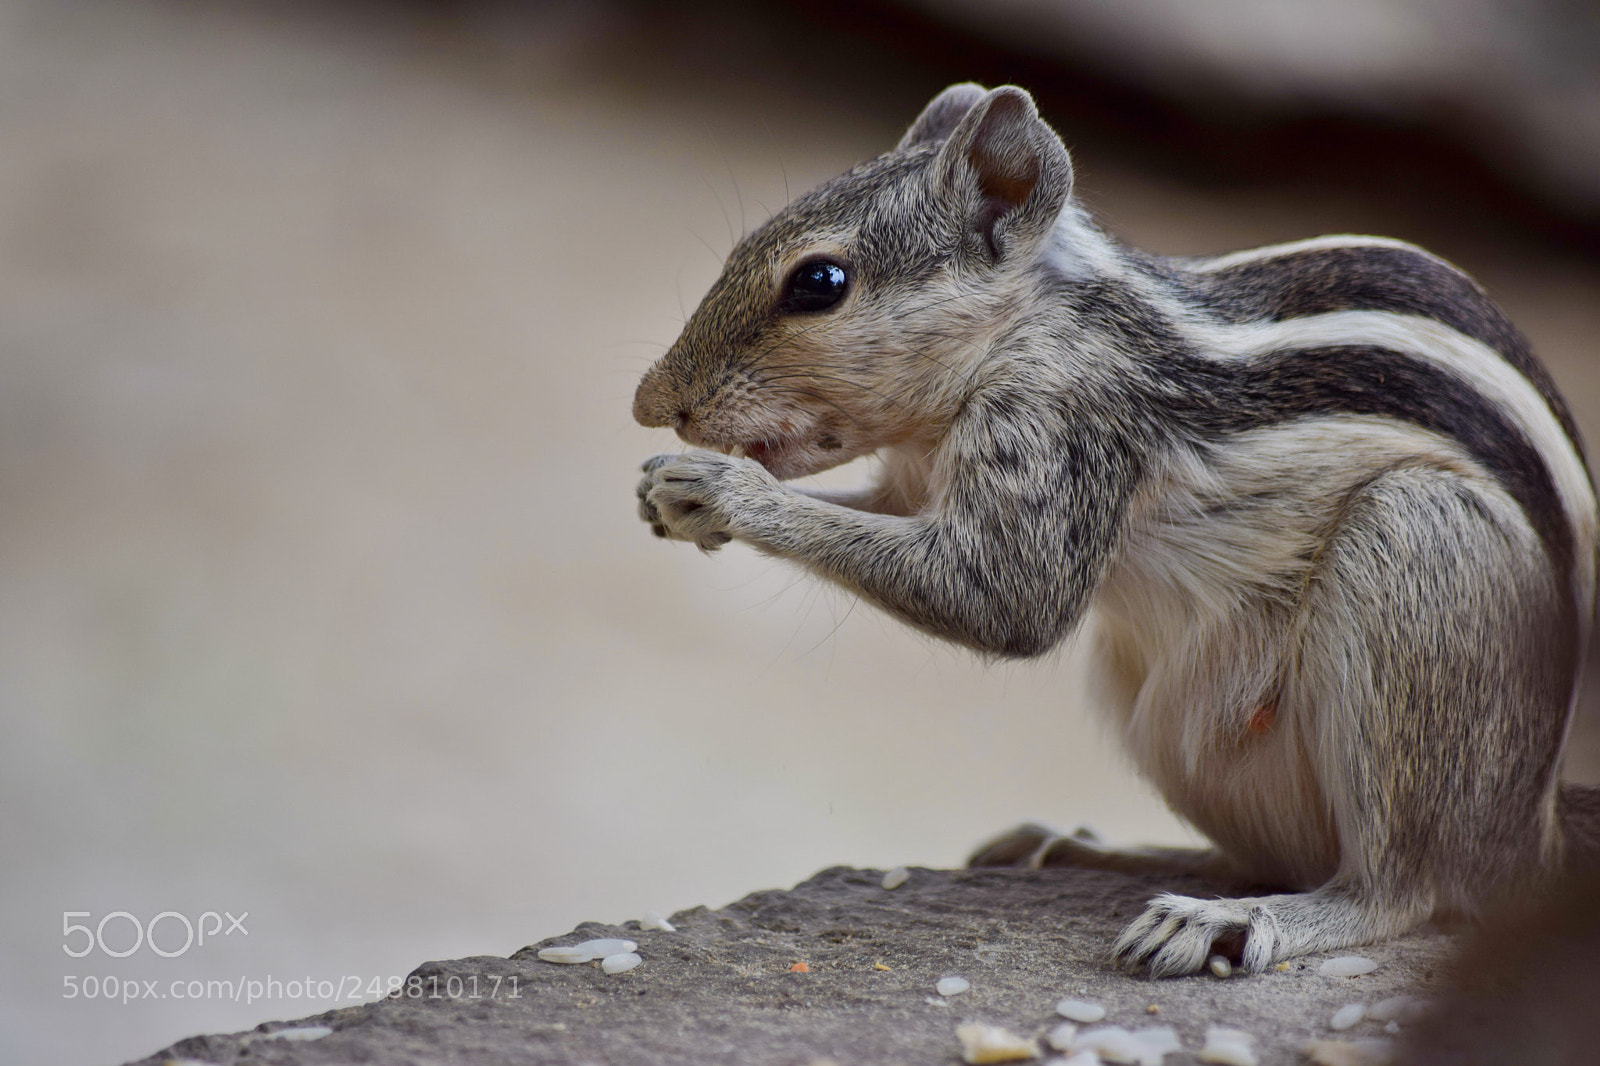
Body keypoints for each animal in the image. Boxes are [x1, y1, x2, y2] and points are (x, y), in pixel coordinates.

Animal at [631, 82, 1600, 976]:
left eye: (818, 283)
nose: (650, 404)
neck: (1032, 325)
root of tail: (1538, 832)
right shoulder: (918, 484)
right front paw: (666, 494)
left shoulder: (1064, 424)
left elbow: (1005, 599)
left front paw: (722, 489)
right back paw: (1085, 849)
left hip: (1418, 547)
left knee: (1406, 886)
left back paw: (1232, 920)